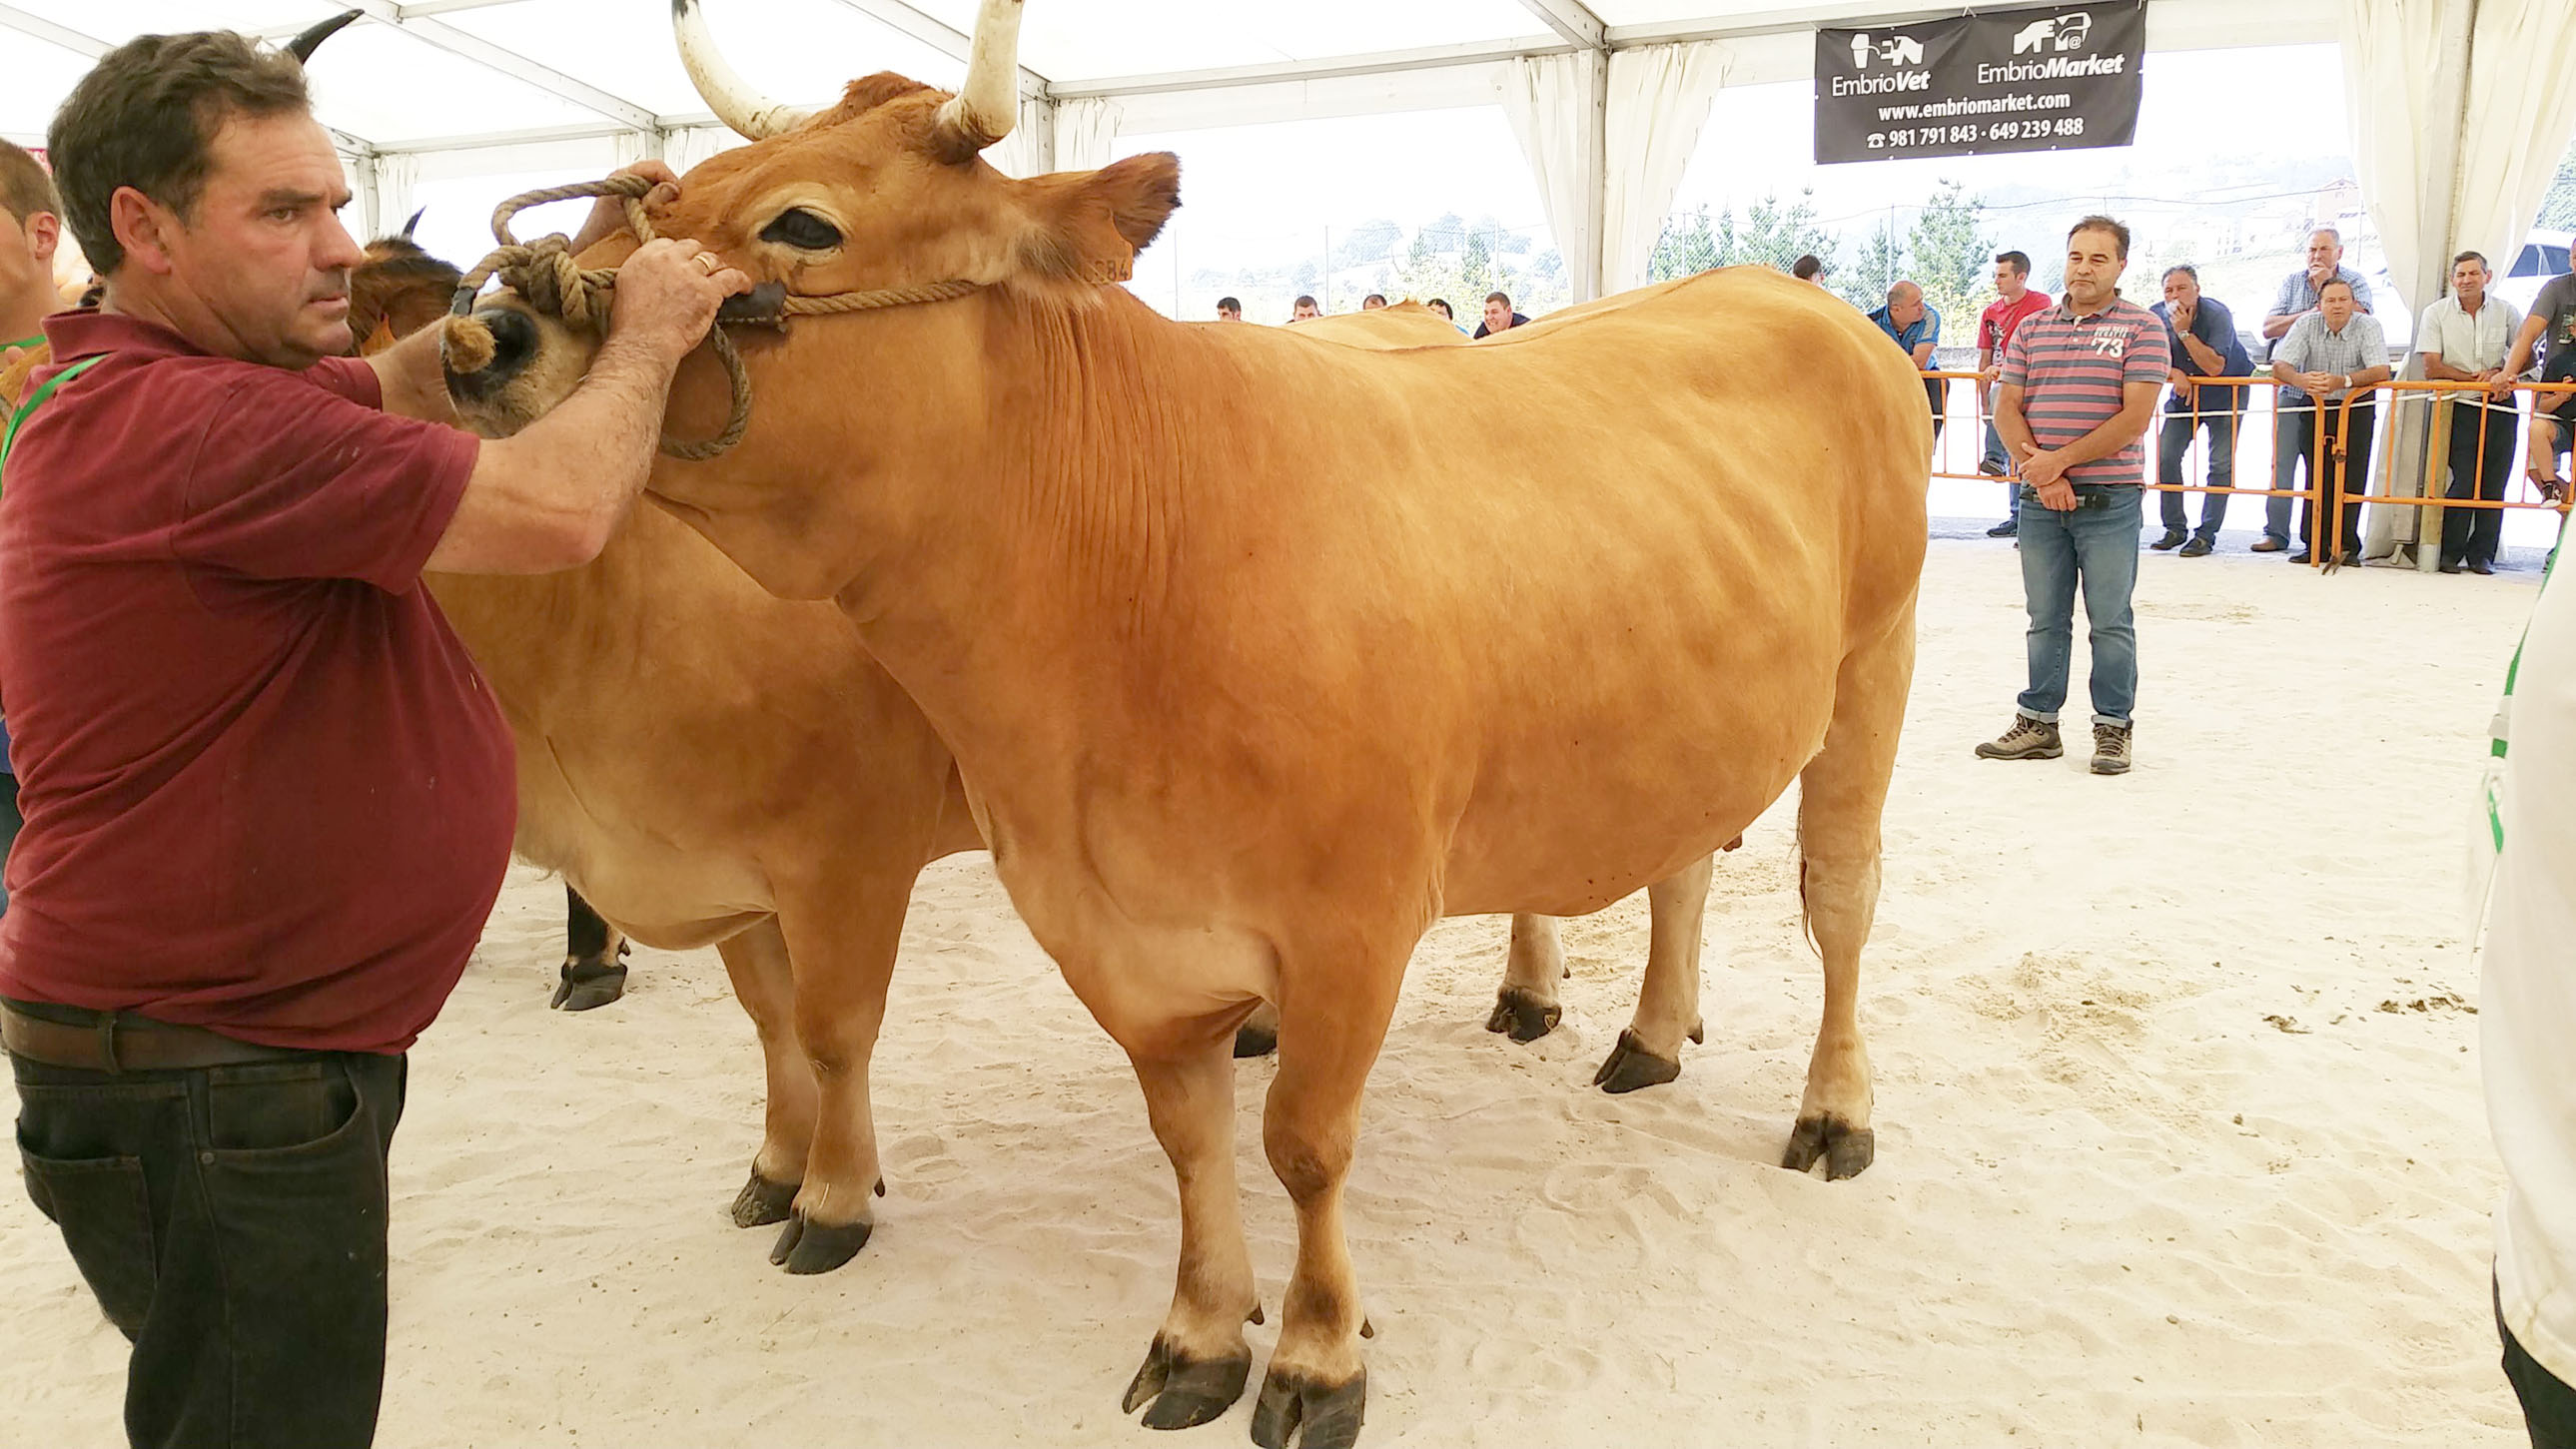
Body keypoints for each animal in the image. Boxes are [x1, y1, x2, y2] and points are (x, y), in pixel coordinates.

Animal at [447, 2, 1937, 1441]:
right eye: (672, 188)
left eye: (801, 223)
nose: (488, 336)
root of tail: (1782, 292)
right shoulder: (1118, 937)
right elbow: (1189, 1139)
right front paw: (1201, 1334)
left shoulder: (1346, 926)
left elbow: (1302, 1143)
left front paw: (1320, 1357)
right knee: (1680, 857)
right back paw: (1646, 1035)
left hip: (1874, 665)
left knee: (1840, 899)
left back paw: (1832, 1110)